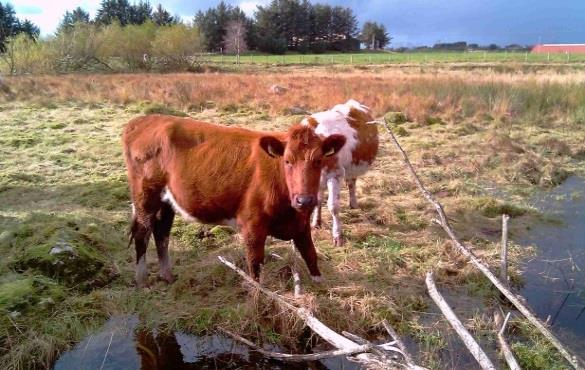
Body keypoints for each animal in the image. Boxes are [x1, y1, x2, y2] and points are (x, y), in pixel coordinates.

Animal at [121, 114, 344, 288]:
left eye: (318, 161)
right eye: (287, 160)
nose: (304, 200)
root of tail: (142, 120)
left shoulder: (301, 224)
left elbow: (311, 254)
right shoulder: (252, 226)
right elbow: (255, 266)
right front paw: (260, 298)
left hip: (166, 201)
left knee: (162, 233)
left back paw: (167, 276)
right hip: (145, 196)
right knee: (142, 232)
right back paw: (142, 280)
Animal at [302, 99, 378, 247]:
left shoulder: (335, 174)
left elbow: (333, 206)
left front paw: (337, 236)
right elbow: (318, 201)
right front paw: (316, 223)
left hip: (352, 166)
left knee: (352, 182)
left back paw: (353, 203)